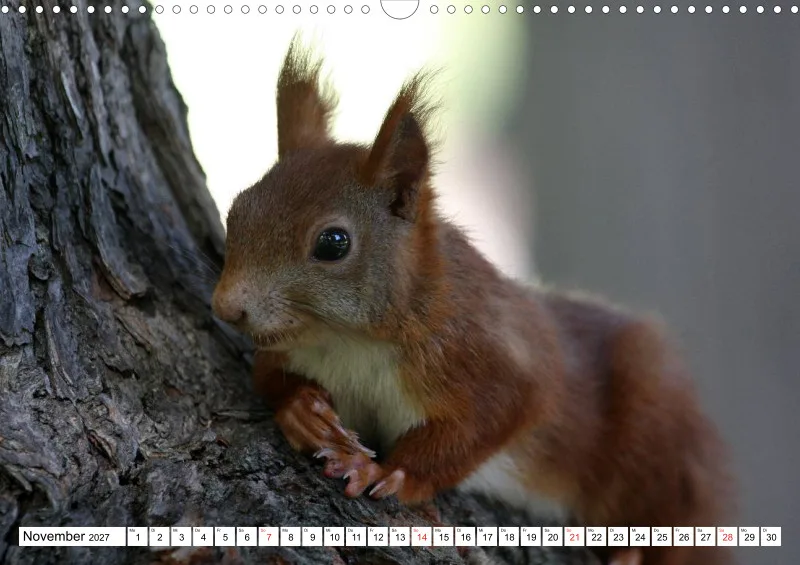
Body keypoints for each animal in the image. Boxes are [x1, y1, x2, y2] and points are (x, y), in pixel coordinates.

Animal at [211, 38, 735, 565]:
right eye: (237, 210)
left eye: (333, 243)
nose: (226, 307)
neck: (351, 341)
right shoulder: (293, 349)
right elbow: (267, 378)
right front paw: (303, 410)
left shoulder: (488, 354)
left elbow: (489, 419)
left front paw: (391, 472)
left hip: (654, 430)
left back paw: (638, 549)